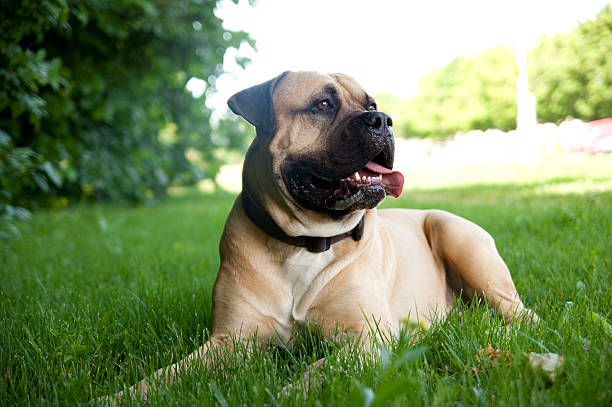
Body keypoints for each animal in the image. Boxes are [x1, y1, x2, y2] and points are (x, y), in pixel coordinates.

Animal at [117, 71, 536, 400]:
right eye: (321, 104)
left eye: (371, 104)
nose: (383, 119)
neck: (305, 242)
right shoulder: (229, 341)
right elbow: (163, 376)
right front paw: (119, 396)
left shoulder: (367, 338)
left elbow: (315, 373)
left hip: (456, 235)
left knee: (521, 313)